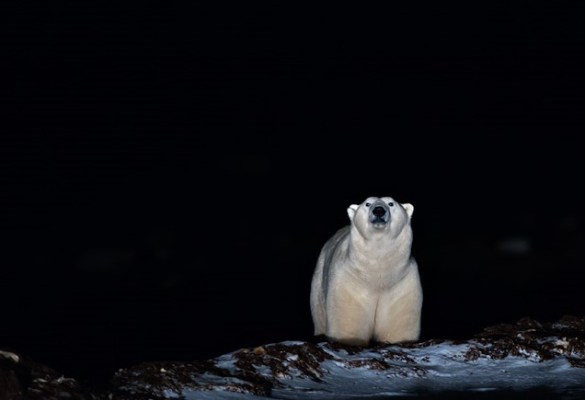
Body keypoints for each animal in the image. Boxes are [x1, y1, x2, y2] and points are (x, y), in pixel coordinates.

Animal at [308, 196, 422, 344]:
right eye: (367, 204)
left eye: (391, 203)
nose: (378, 210)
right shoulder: (349, 282)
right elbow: (349, 322)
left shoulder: (402, 285)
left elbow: (397, 325)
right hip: (318, 284)